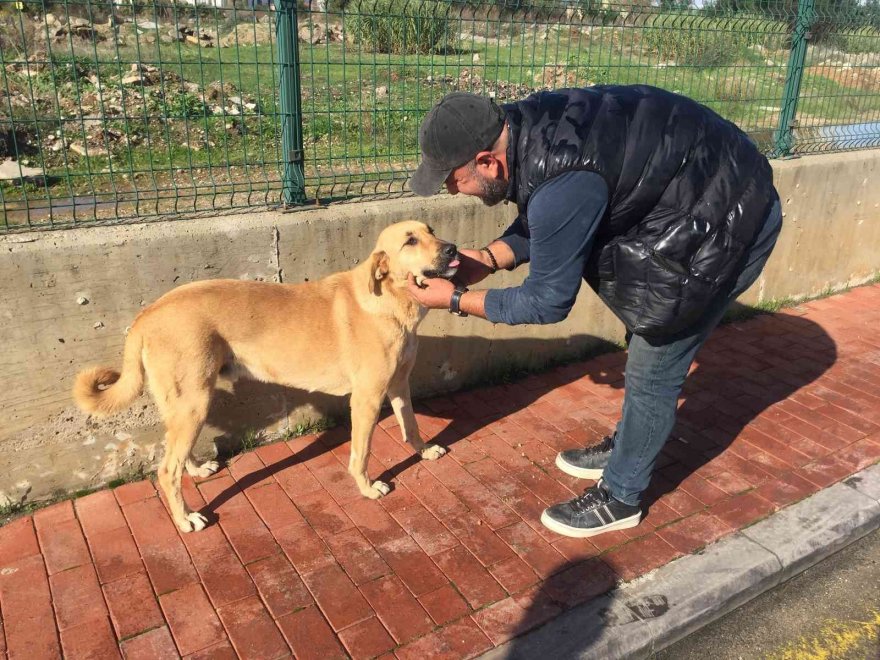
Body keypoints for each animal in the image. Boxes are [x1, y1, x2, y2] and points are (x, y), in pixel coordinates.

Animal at [74, 224, 460, 532]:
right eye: (410, 240)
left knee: (175, 454)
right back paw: (185, 519)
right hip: (195, 402)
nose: (453, 249)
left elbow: (411, 426)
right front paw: (367, 488)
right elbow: (361, 454)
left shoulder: (399, 385)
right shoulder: (366, 399)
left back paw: (196, 470)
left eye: (430, 230)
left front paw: (424, 451)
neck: (390, 301)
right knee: (166, 470)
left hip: (185, 404)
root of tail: (147, 314)